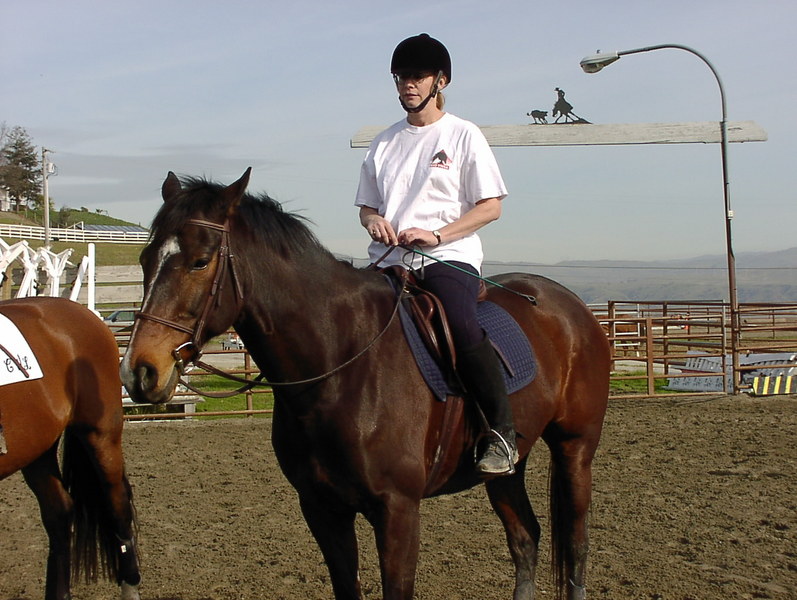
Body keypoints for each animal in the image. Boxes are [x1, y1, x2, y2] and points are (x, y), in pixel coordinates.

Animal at [120, 169, 610, 600]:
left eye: (200, 261)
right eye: (145, 260)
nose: (140, 371)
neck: (340, 366)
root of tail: (572, 306)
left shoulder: (397, 511)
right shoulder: (322, 509)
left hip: (575, 448)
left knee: (577, 544)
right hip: (510, 468)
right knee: (525, 538)